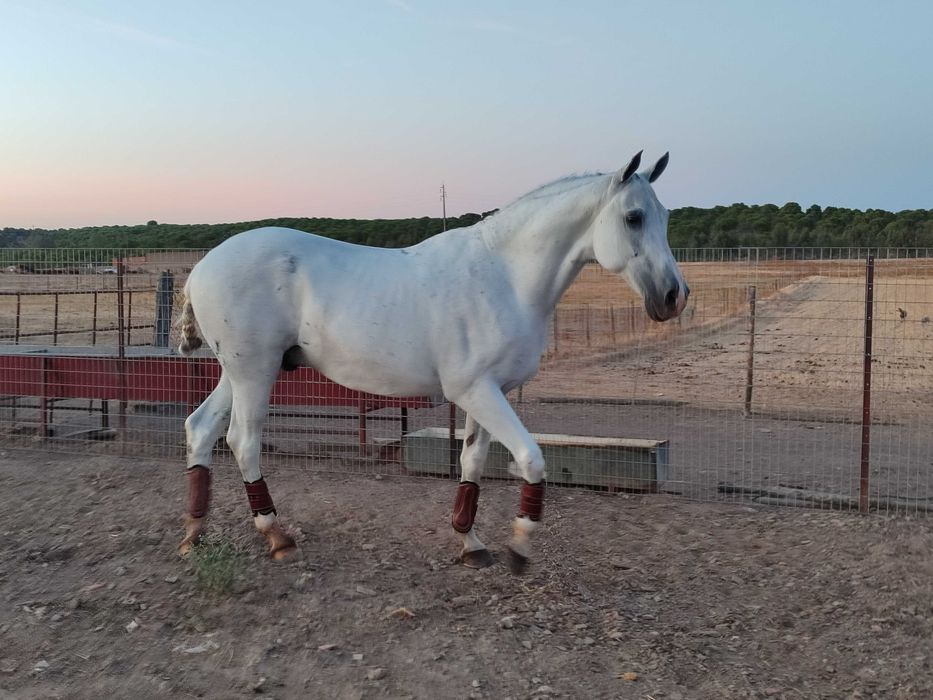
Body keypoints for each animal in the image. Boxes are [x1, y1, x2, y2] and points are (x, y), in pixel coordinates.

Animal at [176, 151, 688, 573]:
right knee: (242, 440)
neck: (505, 276)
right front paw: (519, 547)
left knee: (200, 428)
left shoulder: (489, 394)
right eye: (634, 217)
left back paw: (195, 533)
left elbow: (472, 463)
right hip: (254, 372)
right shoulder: (475, 391)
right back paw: (276, 536)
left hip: (240, 373)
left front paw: (471, 543)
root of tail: (203, 266)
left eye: (665, 216)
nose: (674, 296)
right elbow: (531, 459)